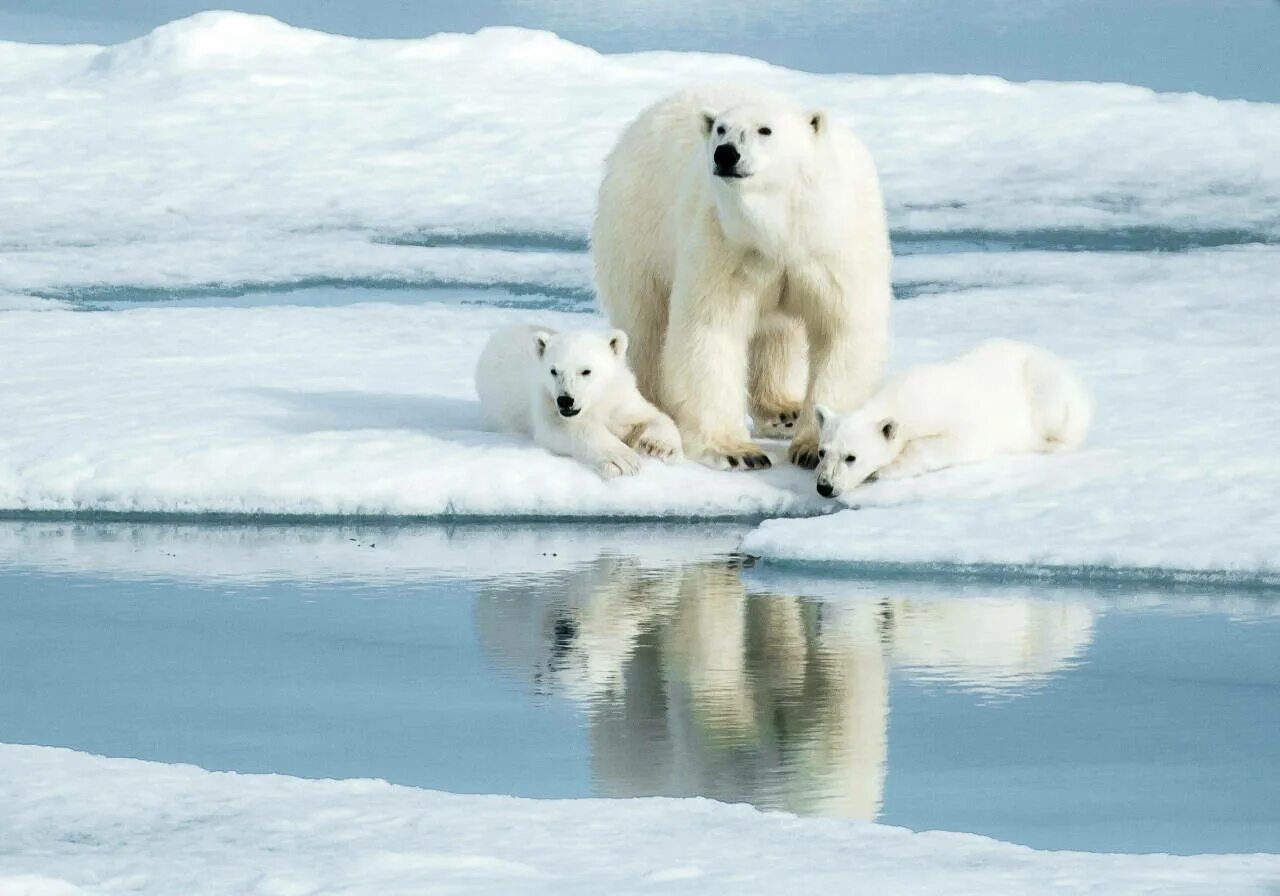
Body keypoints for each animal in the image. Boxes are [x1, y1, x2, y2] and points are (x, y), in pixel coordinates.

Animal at [476, 322, 686, 476]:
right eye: (553, 371)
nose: (565, 400)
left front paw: (660, 446)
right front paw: (622, 460)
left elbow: (653, 416)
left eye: (586, 371)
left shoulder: (620, 398)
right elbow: (563, 428)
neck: (596, 403)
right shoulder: (546, 400)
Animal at [591, 87, 885, 473]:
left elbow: (841, 331)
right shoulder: (725, 244)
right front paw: (737, 451)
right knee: (647, 326)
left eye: (765, 130)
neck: (781, 229)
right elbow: (710, 330)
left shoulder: (833, 247)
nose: (726, 154)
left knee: (777, 335)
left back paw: (784, 411)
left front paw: (811, 448)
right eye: (721, 128)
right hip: (637, 230)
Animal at [814, 340, 1095, 501]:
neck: (904, 398)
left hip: (1043, 385)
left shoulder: (962, 422)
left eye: (851, 457)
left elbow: (955, 444)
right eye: (822, 452)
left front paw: (884, 470)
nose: (824, 487)